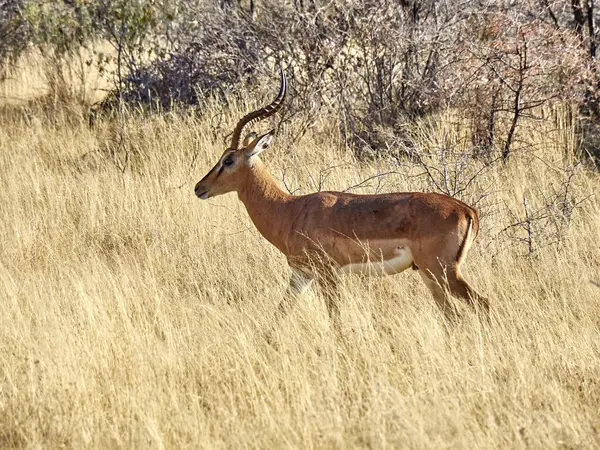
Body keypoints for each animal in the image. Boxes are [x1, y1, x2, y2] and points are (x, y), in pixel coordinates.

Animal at [195, 70, 490, 322]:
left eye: (228, 160)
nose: (199, 187)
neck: (290, 210)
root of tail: (468, 210)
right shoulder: (300, 275)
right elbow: (279, 314)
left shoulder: (328, 275)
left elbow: (335, 319)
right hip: (432, 277)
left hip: (442, 272)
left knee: (480, 306)